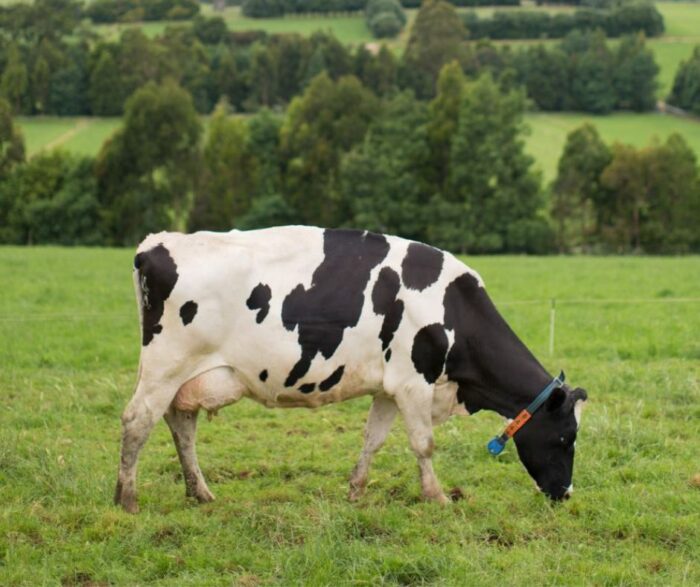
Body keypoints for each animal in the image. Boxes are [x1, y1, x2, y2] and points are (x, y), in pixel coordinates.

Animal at [114, 227, 587, 513]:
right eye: (566, 437)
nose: (565, 494)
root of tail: (156, 243)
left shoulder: (389, 387)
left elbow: (373, 439)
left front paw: (356, 490)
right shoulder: (414, 382)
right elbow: (424, 444)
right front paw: (437, 497)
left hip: (187, 376)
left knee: (181, 424)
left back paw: (200, 492)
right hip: (166, 365)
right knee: (138, 420)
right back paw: (128, 498)